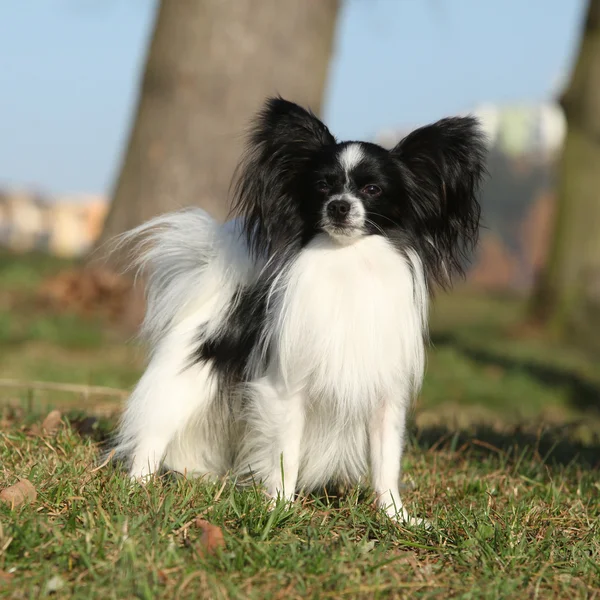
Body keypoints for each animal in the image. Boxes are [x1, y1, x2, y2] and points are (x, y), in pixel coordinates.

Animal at [113, 96, 488, 524]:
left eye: (373, 189)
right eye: (323, 186)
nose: (339, 206)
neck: (347, 263)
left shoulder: (386, 399)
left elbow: (386, 463)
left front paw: (397, 518)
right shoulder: (286, 391)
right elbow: (285, 456)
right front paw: (279, 508)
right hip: (183, 384)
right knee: (152, 433)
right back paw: (138, 487)